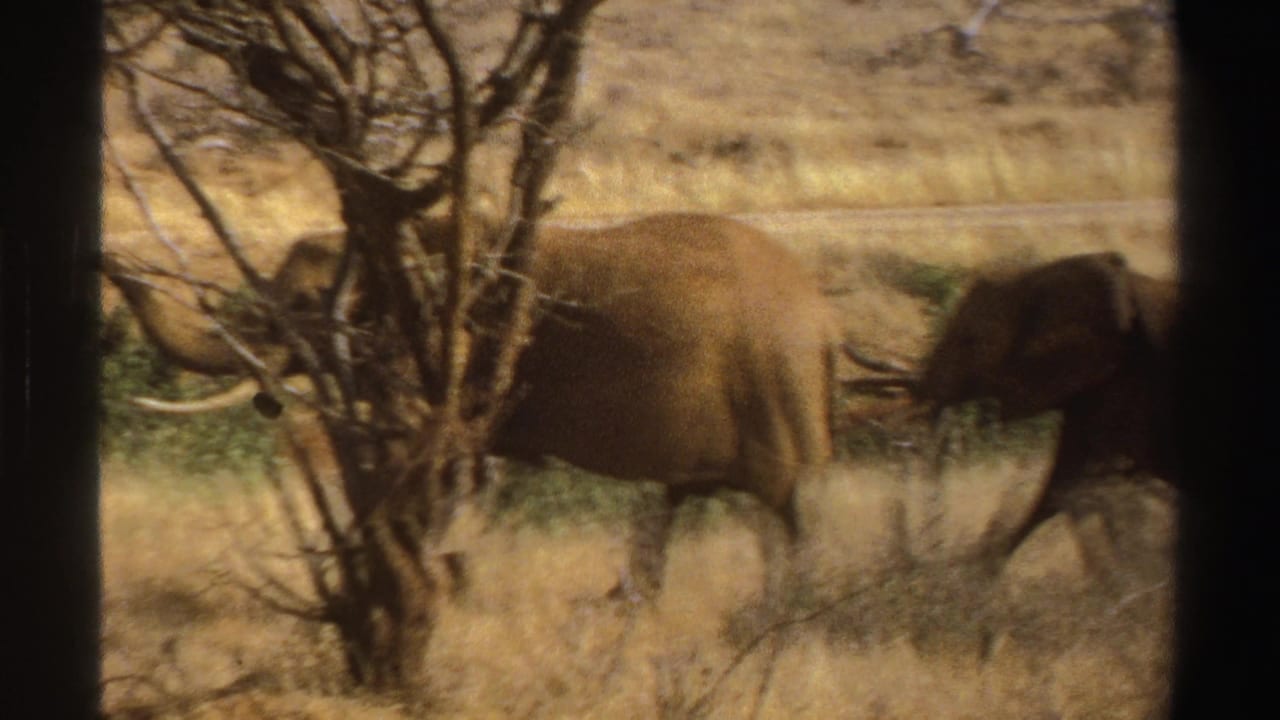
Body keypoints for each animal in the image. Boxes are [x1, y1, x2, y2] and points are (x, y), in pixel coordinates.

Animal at [103, 213, 841, 598]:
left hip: (774, 383)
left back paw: (784, 616)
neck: (415, 241)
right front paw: (456, 584)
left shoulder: (461, 346)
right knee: (678, 505)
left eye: (311, 303)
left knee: (788, 509)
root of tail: (820, 306)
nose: (110, 260)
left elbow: (445, 467)